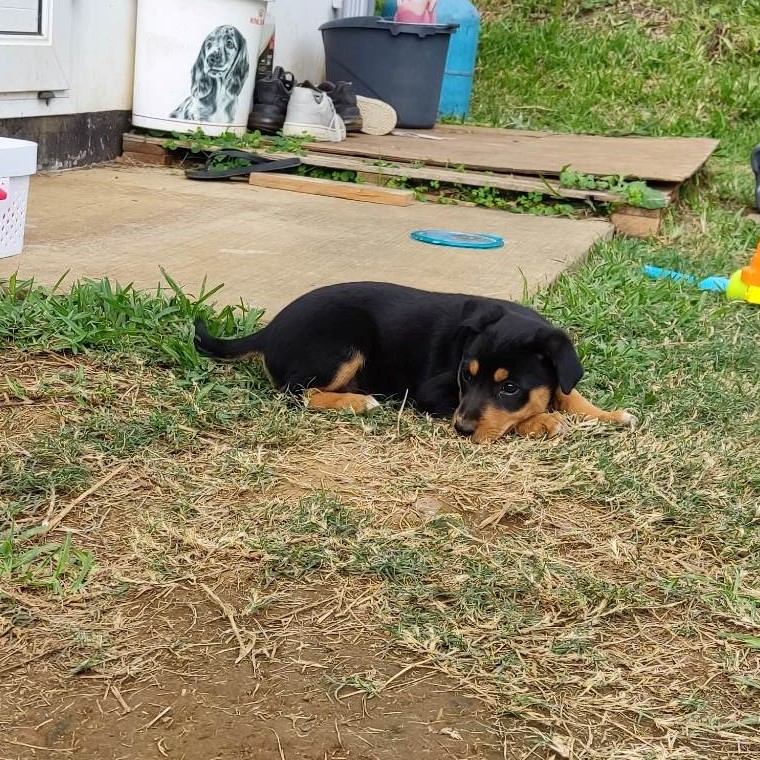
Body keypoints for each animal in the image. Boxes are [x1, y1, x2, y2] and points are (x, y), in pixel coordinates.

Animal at [196, 282, 636, 442]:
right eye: (465, 376)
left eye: (509, 386)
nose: (462, 431)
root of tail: (269, 329)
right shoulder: (434, 392)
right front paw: (542, 421)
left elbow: (568, 391)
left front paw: (611, 415)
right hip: (345, 344)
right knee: (296, 391)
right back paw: (356, 402)